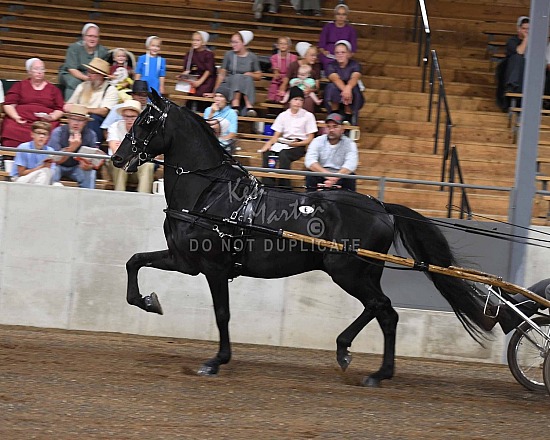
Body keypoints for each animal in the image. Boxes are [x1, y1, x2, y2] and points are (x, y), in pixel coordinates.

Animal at [112, 91, 496, 386]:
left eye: (146, 121)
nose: (117, 157)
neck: (209, 192)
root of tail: (381, 207)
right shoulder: (184, 260)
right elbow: (134, 261)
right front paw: (148, 301)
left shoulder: (214, 268)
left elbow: (222, 313)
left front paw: (216, 360)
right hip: (362, 273)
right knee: (384, 312)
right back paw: (365, 363)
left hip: (347, 271)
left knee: (382, 308)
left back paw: (365, 364)